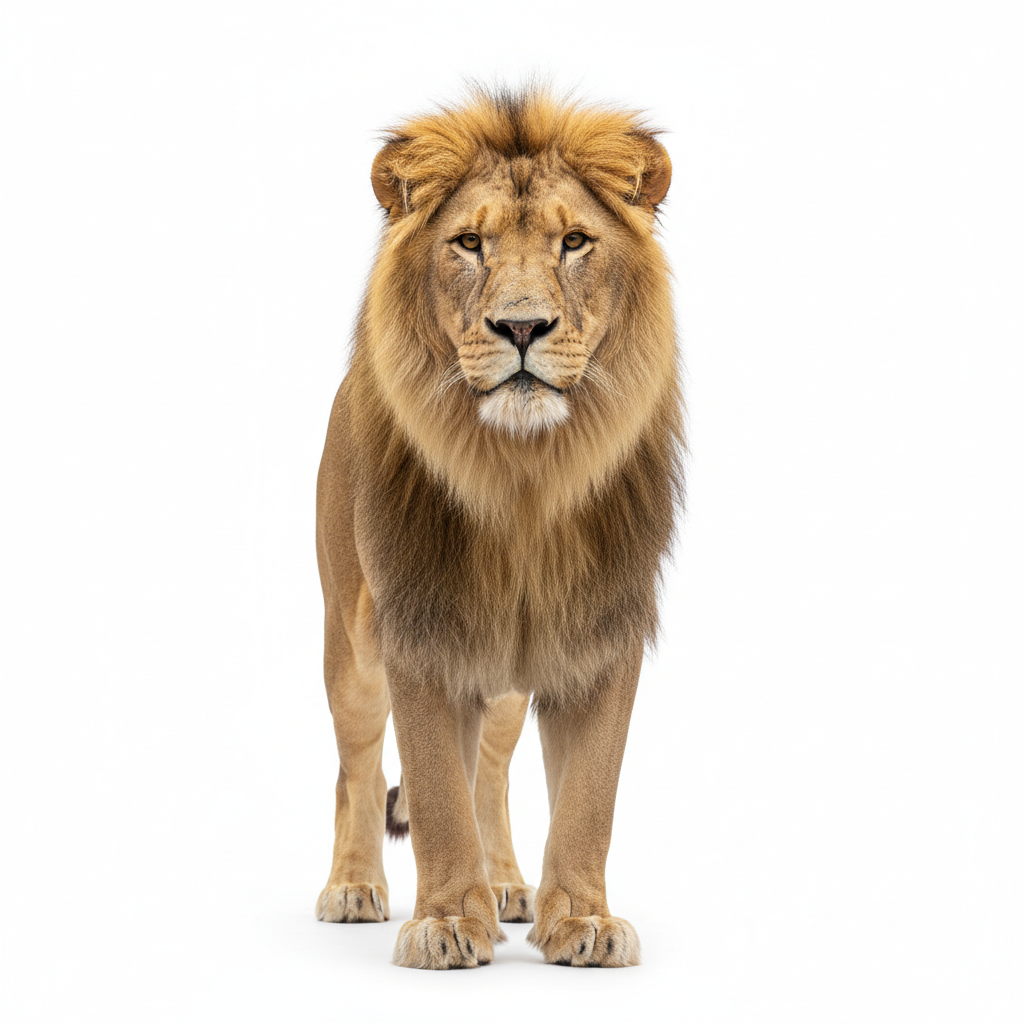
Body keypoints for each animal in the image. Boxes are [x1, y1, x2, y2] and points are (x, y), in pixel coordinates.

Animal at [314, 88, 683, 969]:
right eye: (469, 243)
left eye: (574, 241)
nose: (522, 328)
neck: (524, 477)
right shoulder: (418, 625)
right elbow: (434, 789)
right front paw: (447, 921)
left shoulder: (600, 627)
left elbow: (587, 795)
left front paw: (582, 919)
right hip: (350, 642)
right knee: (356, 763)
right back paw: (353, 885)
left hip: (509, 678)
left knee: (492, 765)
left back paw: (509, 882)